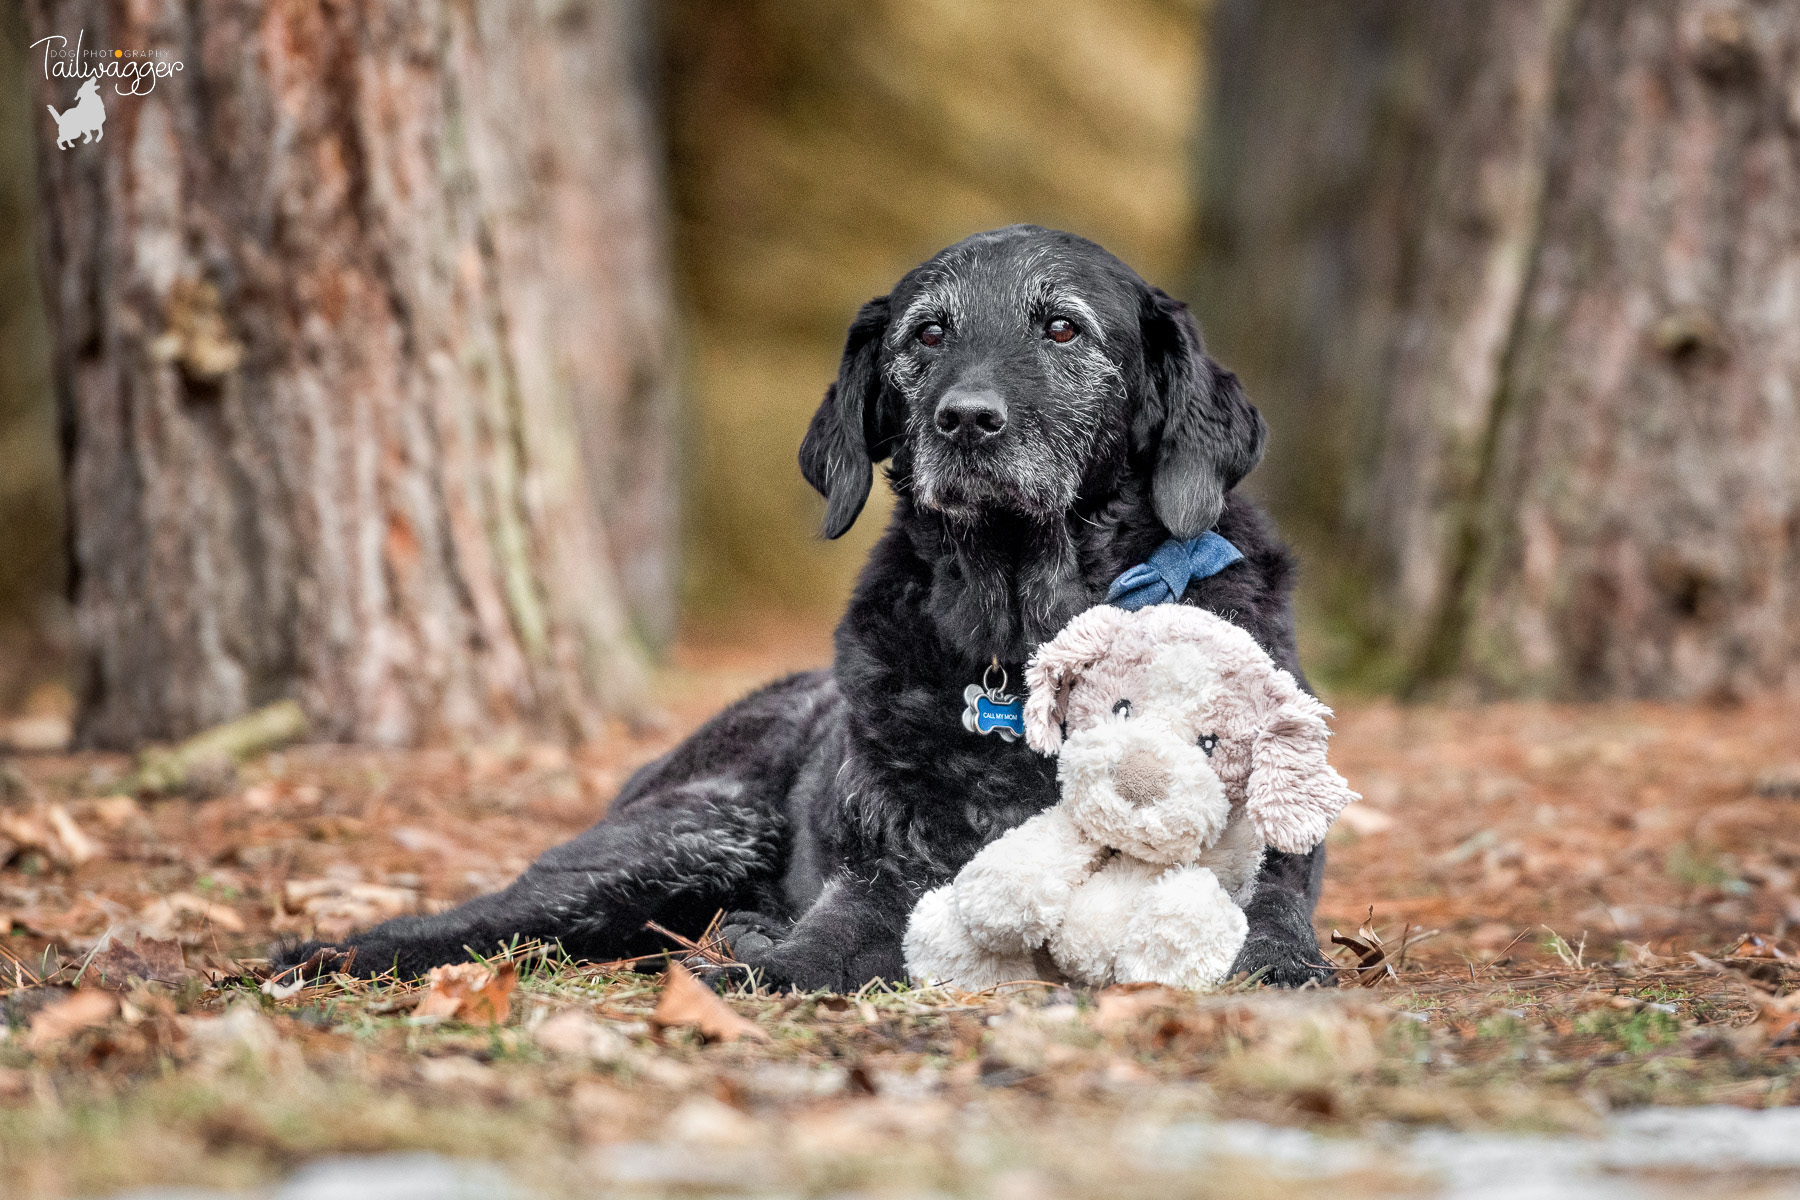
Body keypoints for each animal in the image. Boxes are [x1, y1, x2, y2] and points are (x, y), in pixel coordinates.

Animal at [273, 227, 1332, 993]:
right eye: (929, 335)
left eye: (1063, 329)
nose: (965, 420)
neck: (1020, 622)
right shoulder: (884, 873)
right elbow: (831, 942)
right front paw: (764, 972)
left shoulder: (1268, 858)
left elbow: (1267, 914)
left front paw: (1277, 962)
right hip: (684, 837)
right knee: (486, 916)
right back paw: (329, 957)